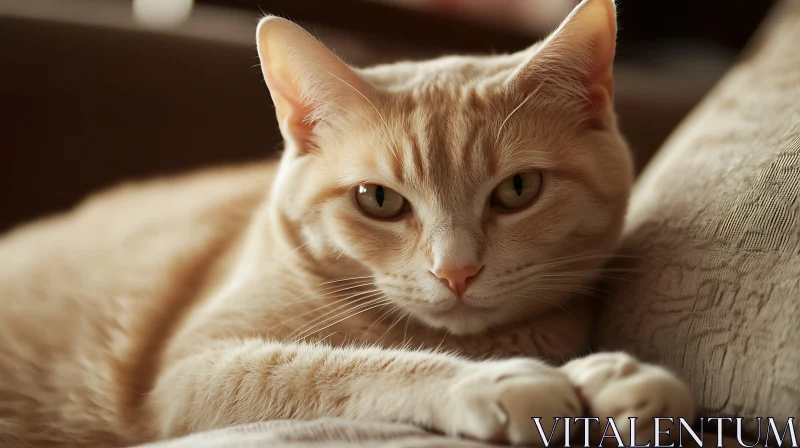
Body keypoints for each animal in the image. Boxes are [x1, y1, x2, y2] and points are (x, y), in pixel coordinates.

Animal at [0, 0, 692, 446]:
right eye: (378, 199)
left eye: (518, 190)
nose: (456, 271)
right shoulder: (188, 375)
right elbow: (332, 368)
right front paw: (489, 381)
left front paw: (611, 376)